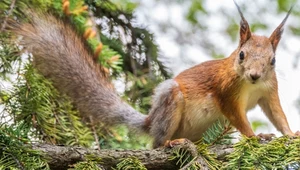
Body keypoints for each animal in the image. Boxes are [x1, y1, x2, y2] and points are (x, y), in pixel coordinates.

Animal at [5, 1, 298, 147]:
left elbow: (277, 115)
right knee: (156, 144)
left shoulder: (268, 92)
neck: (250, 87)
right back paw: (171, 142)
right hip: (171, 101)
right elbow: (238, 118)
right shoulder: (226, 92)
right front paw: (255, 136)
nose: (254, 76)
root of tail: (150, 121)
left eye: (273, 61)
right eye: (241, 55)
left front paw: (291, 133)